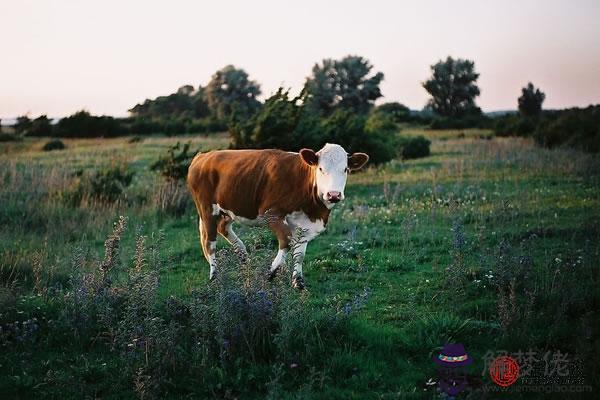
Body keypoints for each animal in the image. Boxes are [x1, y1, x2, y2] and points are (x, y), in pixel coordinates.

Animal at [185, 142, 368, 290]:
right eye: (321, 169)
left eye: (345, 169)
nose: (333, 195)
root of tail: (203, 156)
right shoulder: (271, 213)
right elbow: (286, 240)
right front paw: (271, 273)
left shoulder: (305, 224)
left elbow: (300, 253)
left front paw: (298, 282)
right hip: (206, 209)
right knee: (210, 241)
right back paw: (214, 276)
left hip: (228, 209)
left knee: (223, 228)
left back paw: (245, 259)